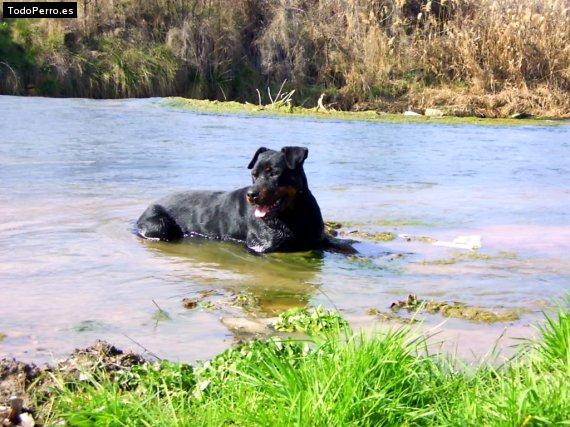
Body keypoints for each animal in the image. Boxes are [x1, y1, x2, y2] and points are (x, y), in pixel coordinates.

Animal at [137, 147, 332, 254]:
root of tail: (142, 213)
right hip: (160, 225)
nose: (251, 194)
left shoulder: (318, 239)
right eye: (253, 174)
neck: (293, 213)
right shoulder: (261, 246)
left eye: (274, 173)